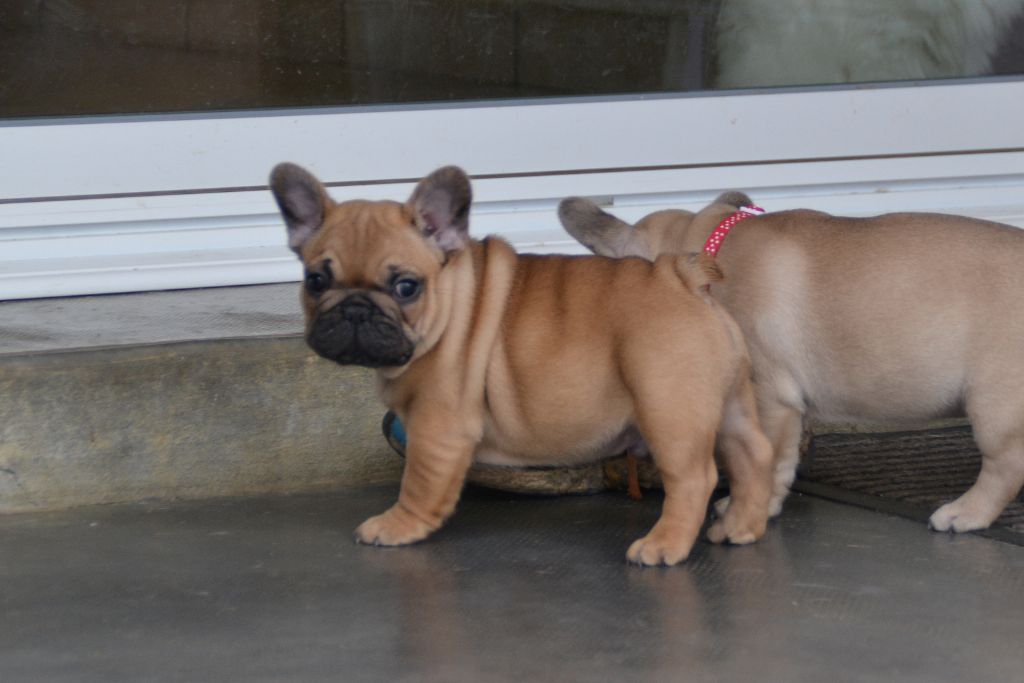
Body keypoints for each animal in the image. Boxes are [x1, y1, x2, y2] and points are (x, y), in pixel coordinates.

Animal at [269, 163, 775, 565]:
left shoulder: (438, 428)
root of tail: (681, 276)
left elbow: (420, 482)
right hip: (729, 401)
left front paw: (398, 526)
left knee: (694, 478)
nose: (354, 310)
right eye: (315, 281)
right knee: (753, 453)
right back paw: (741, 528)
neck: (452, 301)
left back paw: (664, 545)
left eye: (406, 287)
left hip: (669, 409)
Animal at [559, 194, 1024, 532]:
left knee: (1005, 467)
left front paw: (750, 511)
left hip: (995, 405)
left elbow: (765, 462)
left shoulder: (770, 399)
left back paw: (966, 513)